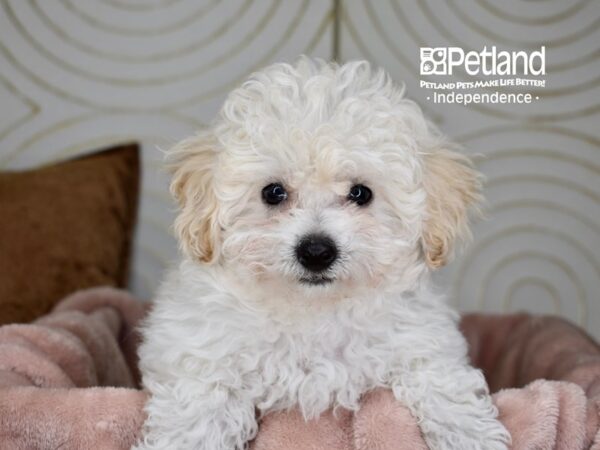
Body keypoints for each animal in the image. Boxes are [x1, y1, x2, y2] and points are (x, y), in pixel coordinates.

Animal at [136, 59, 510, 450]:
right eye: (273, 192)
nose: (316, 251)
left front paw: (471, 434)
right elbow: (201, 408)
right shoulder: (201, 352)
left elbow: (441, 383)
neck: (312, 311)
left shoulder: (421, 342)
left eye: (361, 193)